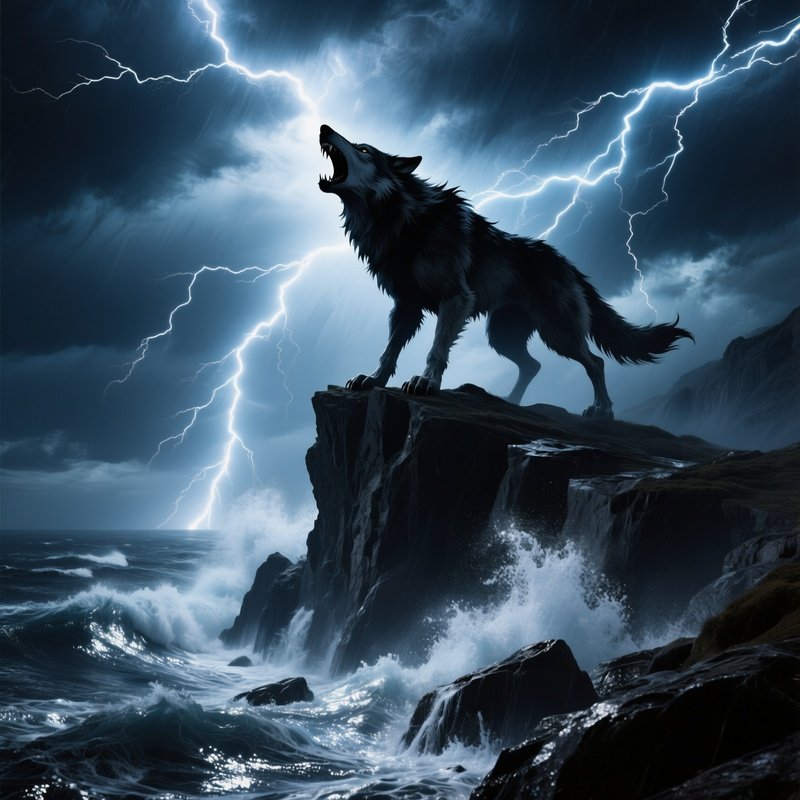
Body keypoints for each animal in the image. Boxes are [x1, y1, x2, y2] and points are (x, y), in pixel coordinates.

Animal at [318, 124, 692, 418]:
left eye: (363, 149)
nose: (323, 127)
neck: (403, 219)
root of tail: (570, 264)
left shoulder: (454, 298)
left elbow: (436, 349)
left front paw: (426, 382)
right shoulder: (405, 306)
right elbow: (389, 351)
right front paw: (373, 380)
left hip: (557, 332)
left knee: (595, 362)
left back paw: (602, 410)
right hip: (503, 337)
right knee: (534, 365)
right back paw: (511, 401)